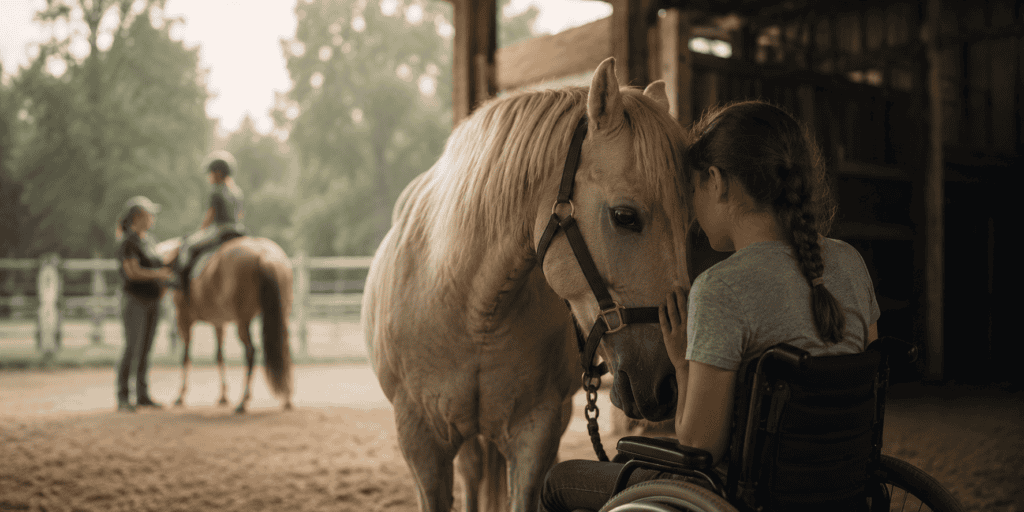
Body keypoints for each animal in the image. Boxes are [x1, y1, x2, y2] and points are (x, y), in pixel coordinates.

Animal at [155, 236, 294, 414]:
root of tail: (264, 254)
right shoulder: (218, 323)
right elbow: (219, 355)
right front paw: (223, 396)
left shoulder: (184, 320)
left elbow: (185, 357)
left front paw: (181, 395)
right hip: (281, 315)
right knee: (284, 349)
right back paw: (287, 399)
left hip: (243, 321)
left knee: (251, 352)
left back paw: (243, 401)